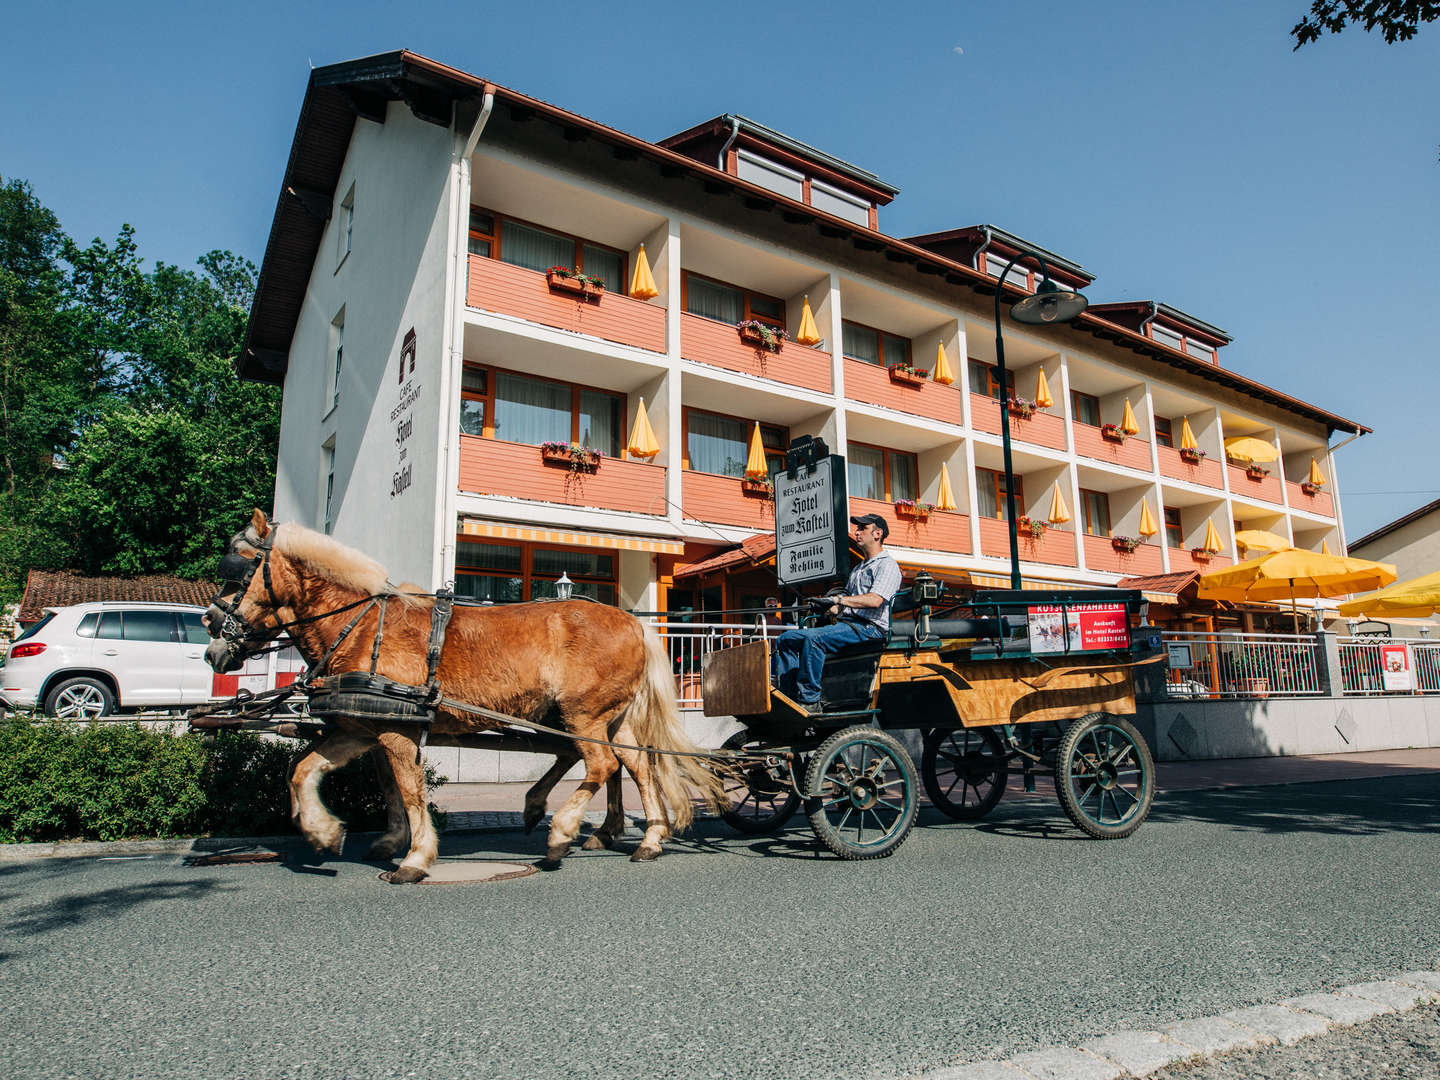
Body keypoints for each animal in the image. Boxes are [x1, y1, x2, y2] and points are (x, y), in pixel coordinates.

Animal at [203, 512, 720, 881]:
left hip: (582, 713)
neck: (362, 625)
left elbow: (409, 789)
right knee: (636, 766)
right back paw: (647, 838)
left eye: (240, 567)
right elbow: (308, 771)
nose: (211, 637)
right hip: (612, 717)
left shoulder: (396, 731)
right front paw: (327, 833)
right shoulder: (361, 728)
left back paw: (560, 833)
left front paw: (414, 857)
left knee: (602, 764)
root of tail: (632, 620)